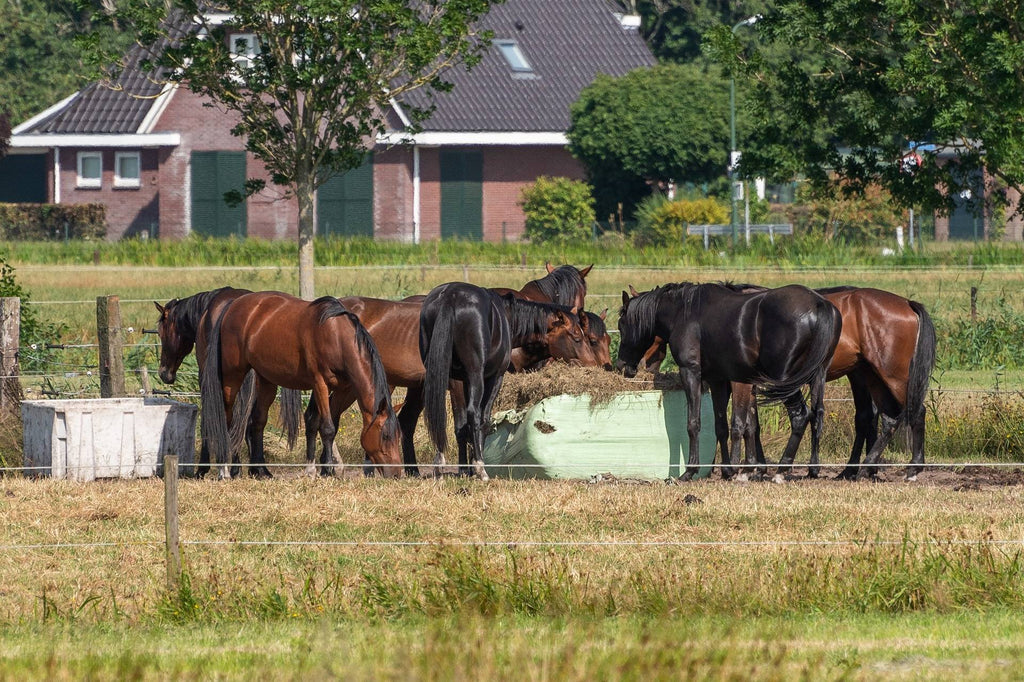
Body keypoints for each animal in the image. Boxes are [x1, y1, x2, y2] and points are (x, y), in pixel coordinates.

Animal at [154, 287, 302, 478]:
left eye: (161, 332)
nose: (164, 373)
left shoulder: (206, 380)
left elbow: (209, 420)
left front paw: (204, 468)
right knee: (253, 421)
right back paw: (257, 468)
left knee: (229, 419)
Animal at [199, 291, 401, 479]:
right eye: (385, 436)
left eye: (399, 436)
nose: (397, 474)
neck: (336, 336)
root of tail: (233, 304)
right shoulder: (320, 384)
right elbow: (327, 428)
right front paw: (328, 471)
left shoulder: (341, 388)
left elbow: (315, 422)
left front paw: (312, 470)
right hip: (233, 376)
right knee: (227, 419)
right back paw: (224, 471)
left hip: (265, 379)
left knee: (257, 421)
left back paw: (261, 471)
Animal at [420, 282, 511, 480]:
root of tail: (450, 295)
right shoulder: (494, 378)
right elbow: (483, 419)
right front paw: (476, 466)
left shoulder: (459, 381)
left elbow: (460, 425)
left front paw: (465, 469)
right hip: (476, 374)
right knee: (473, 413)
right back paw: (481, 469)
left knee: (440, 414)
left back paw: (440, 465)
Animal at [616, 283, 842, 480]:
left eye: (622, 324)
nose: (621, 365)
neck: (684, 312)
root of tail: (819, 304)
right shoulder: (718, 380)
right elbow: (721, 426)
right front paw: (727, 470)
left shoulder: (691, 372)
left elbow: (694, 423)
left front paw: (690, 471)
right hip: (816, 377)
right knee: (816, 415)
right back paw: (811, 468)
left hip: (784, 382)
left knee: (800, 416)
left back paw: (781, 469)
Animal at [729, 286, 936, 481]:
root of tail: (907, 303)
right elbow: (752, 423)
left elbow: (748, 422)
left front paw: (753, 469)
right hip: (871, 376)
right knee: (882, 417)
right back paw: (863, 468)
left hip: (891, 377)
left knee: (914, 411)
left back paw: (911, 468)